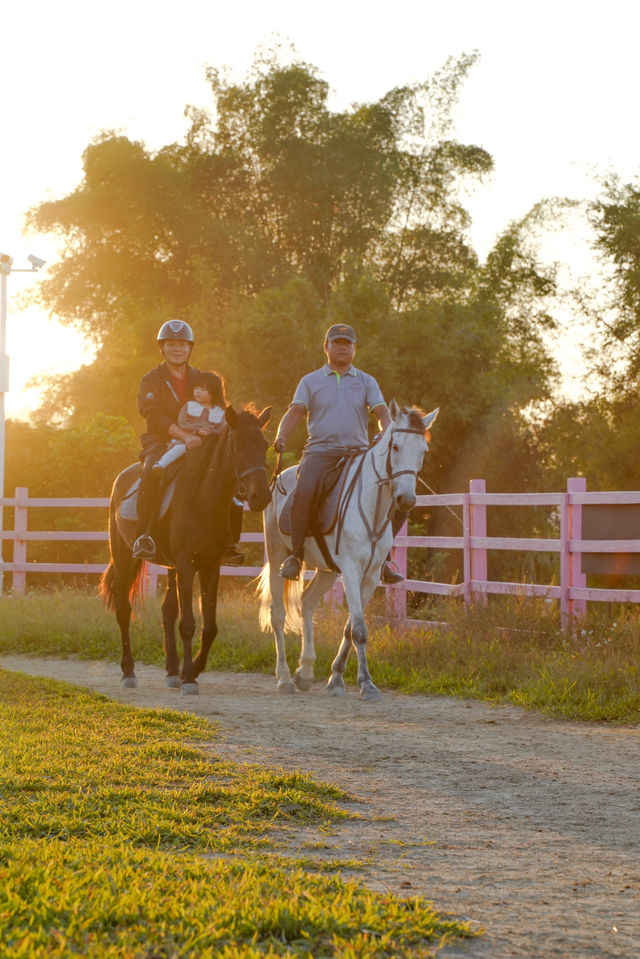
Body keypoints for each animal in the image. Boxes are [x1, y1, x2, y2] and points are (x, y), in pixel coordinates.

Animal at [100, 406, 272, 696]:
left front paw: (189, 671)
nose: (261, 497)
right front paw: (190, 678)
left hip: (170, 567)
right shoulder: (186, 565)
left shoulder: (210, 566)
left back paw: (171, 670)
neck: (203, 501)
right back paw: (128, 672)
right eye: (237, 445)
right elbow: (189, 623)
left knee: (167, 611)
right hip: (125, 557)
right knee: (124, 611)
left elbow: (210, 626)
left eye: (265, 445)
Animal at [258, 402, 438, 700]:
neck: (371, 508)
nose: (406, 499)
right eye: (395, 446)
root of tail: (279, 480)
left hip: (327, 570)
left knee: (307, 602)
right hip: (276, 557)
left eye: (423, 451)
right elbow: (360, 630)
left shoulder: (371, 575)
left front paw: (336, 678)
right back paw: (284, 677)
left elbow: (350, 627)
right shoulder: (352, 571)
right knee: (278, 614)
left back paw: (305, 671)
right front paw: (366, 683)